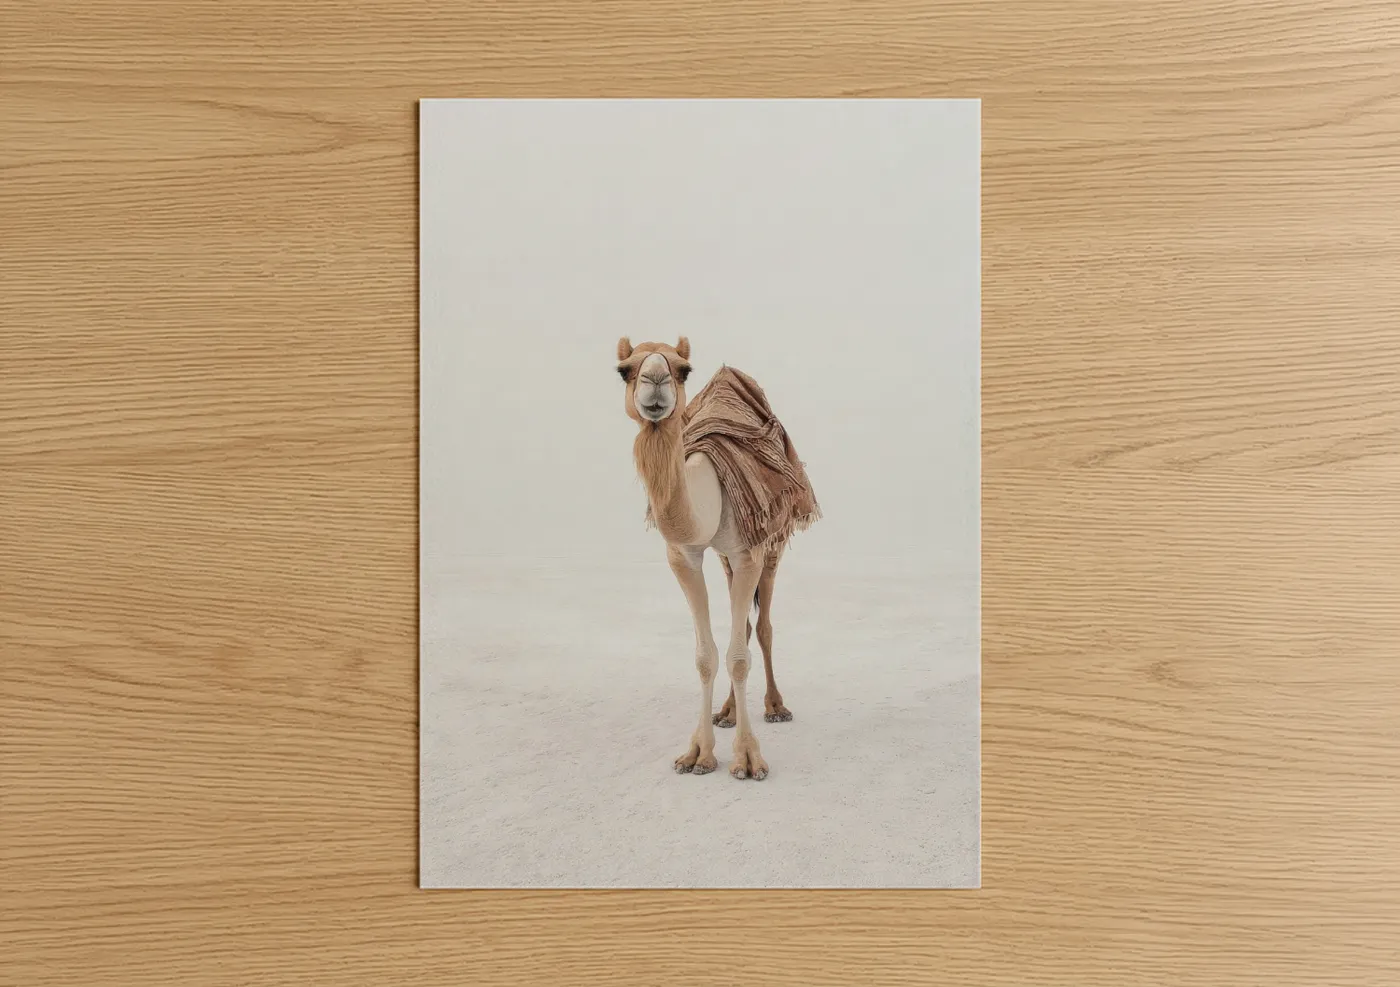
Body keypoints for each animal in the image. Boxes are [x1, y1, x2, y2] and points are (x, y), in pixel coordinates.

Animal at [615, 336, 820, 780]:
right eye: (624, 369)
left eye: (682, 369)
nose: (655, 380)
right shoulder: (683, 558)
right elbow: (706, 656)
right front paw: (698, 753)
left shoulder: (749, 553)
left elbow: (740, 656)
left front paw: (747, 759)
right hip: (726, 558)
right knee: (740, 626)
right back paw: (726, 713)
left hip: (772, 543)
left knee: (763, 626)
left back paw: (775, 707)